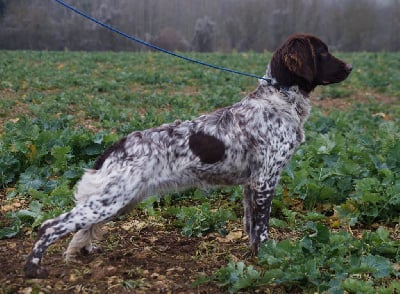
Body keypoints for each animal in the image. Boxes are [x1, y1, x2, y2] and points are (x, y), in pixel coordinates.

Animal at [23, 34, 352, 278]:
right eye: (322, 53)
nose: (350, 67)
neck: (279, 100)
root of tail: (114, 148)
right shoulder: (265, 181)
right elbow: (262, 230)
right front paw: (269, 260)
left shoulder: (252, 184)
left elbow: (251, 228)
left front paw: (254, 259)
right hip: (111, 200)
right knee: (51, 225)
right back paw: (33, 269)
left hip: (117, 201)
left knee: (80, 229)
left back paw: (84, 252)